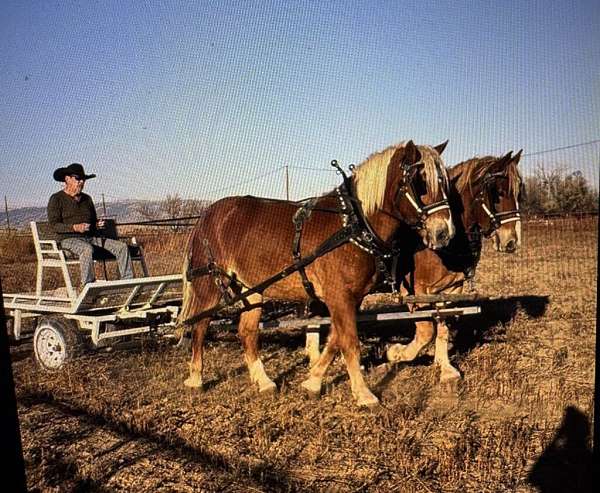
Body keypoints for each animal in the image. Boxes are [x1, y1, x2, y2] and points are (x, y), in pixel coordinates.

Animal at [180, 139, 452, 408]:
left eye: (443, 181)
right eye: (419, 181)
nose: (444, 233)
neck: (353, 225)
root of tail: (206, 215)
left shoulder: (350, 299)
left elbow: (334, 340)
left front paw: (312, 382)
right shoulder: (339, 297)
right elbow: (349, 342)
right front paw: (363, 394)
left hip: (250, 290)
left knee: (247, 332)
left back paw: (264, 381)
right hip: (209, 285)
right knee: (200, 325)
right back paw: (195, 379)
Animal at [386, 150, 524, 380]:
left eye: (519, 192)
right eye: (498, 193)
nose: (512, 242)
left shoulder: (450, 289)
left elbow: (443, 325)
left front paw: (445, 367)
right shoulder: (415, 290)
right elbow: (425, 330)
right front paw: (397, 353)